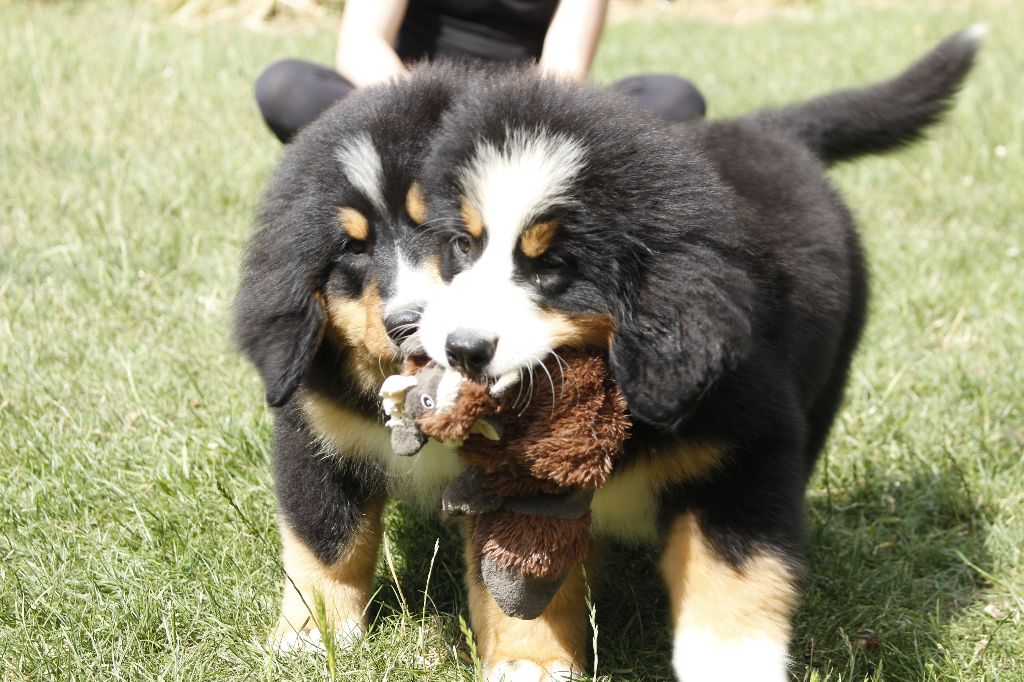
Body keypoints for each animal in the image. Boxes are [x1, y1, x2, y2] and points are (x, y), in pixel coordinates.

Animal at [415, 27, 983, 679]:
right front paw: (529, 661)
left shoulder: (747, 457)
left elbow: (732, 585)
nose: (462, 349)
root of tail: (768, 127)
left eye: (553, 265)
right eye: (463, 246)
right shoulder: (520, 475)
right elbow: (523, 572)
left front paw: (733, 667)